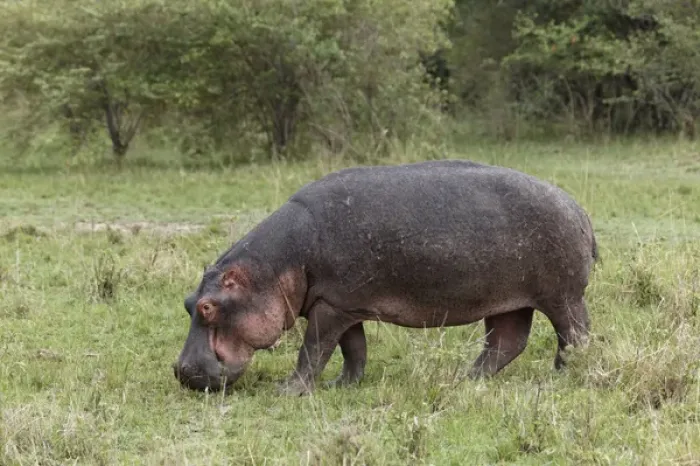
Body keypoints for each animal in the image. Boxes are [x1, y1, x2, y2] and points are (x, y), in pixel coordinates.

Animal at [173, 160, 598, 395]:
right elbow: (352, 349)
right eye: (188, 303)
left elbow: (312, 350)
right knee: (506, 341)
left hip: (562, 296)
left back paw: (563, 375)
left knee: (573, 334)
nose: (182, 371)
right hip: (509, 299)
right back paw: (465, 378)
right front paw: (343, 386)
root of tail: (577, 207)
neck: (276, 264)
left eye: (208, 307)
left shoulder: (331, 308)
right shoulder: (341, 303)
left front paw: (287, 391)